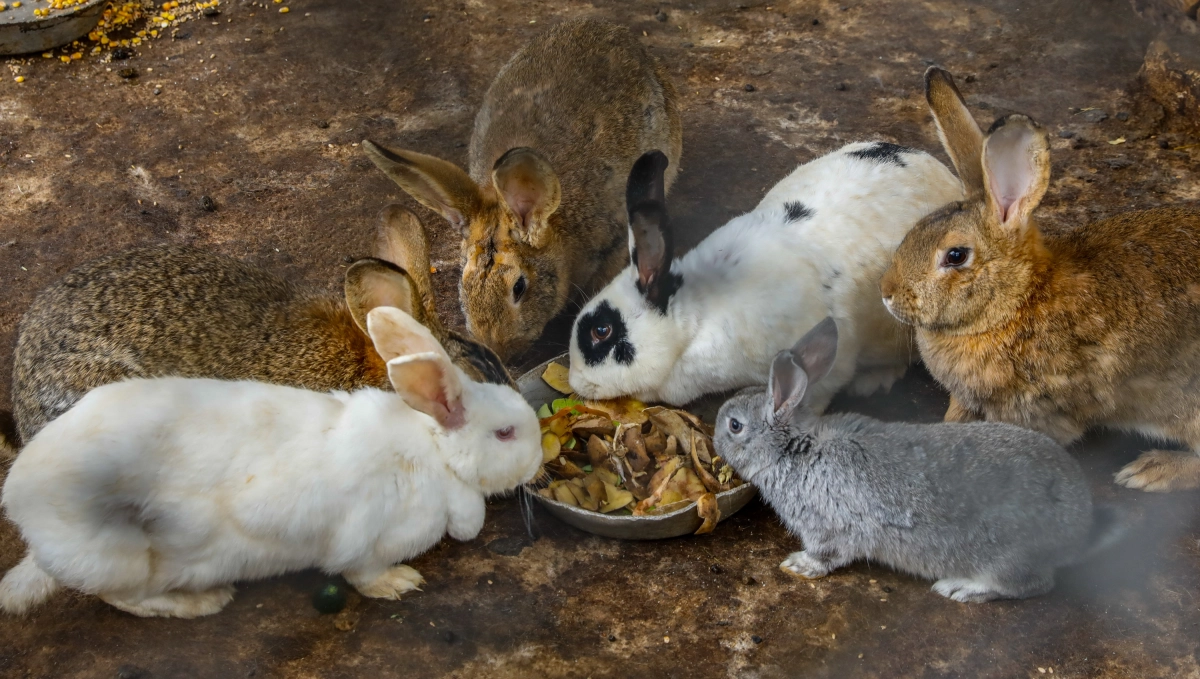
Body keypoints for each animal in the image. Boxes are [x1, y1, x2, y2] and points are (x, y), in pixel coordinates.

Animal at [0, 309, 542, 623]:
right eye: (505, 433)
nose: (540, 459)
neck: (432, 452)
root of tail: (21, 502)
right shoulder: (361, 541)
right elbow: (362, 574)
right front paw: (399, 583)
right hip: (121, 558)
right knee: (122, 598)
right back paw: (203, 602)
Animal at [360, 17, 686, 362]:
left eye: (519, 287)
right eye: (463, 281)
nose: (497, 348)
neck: (560, 231)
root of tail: (612, 29)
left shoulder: (612, 242)